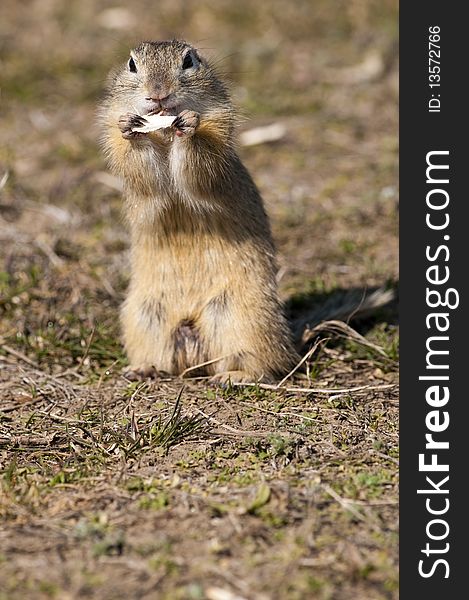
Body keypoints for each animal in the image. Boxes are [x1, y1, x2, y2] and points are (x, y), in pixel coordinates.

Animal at [98, 39, 300, 382]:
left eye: (189, 61)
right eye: (132, 64)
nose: (158, 93)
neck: (164, 134)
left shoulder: (217, 135)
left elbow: (200, 165)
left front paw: (190, 125)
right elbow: (141, 169)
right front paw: (129, 127)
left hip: (244, 319)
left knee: (266, 363)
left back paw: (234, 377)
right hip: (143, 317)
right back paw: (141, 369)